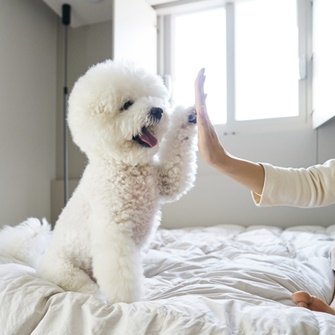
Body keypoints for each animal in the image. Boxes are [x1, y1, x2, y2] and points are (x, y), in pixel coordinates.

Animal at [35, 59, 198, 304]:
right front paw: (128, 303)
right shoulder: (115, 235)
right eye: (127, 104)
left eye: (149, 96)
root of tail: (39, 263)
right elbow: (121, 274)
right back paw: (99, 297)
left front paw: (187, 118)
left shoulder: (165, 181)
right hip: (66, 272)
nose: (157, 110)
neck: (124, 165)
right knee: (84, 288)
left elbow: (176, 170)